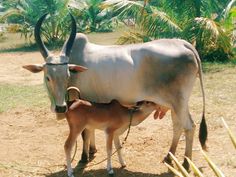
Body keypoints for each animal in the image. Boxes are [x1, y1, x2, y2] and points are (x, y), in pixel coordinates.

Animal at [23, 14, 206, 170]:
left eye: (67, 74)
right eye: (47, 77)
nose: (60, 108)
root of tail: (183, 43)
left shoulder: (82, 101)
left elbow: (85, 132)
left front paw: (84, 157)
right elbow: (90, 129)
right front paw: (92, 150)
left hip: (178, 102)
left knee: (189, 127)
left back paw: (186, 163)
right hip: (176, 104)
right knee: (178, 126)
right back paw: (169, 157)